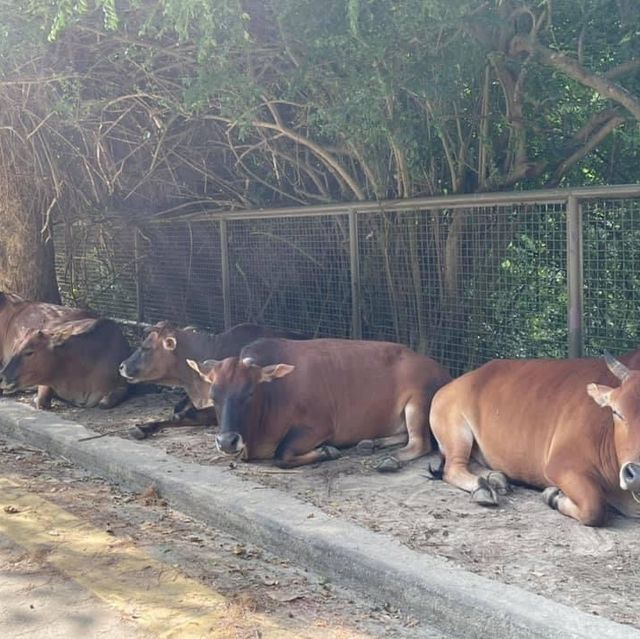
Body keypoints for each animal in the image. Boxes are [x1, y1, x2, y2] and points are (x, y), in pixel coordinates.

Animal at [0, 316, 130, 410]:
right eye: (14, 348)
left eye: (29, 352)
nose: (2, 377)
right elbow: (41, 401)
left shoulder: (122, 386)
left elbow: (104, 403)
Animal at [188, 340, 452, 470]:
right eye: (213, 394)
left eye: (250, 392)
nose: (227, 441)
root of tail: (441, 369)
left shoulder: (319, 427)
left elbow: (281, 455)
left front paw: (327, 451)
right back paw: (370, 443)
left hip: (417, 403)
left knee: (420, 443)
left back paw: (391, 459)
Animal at [430, 352, 640, 528]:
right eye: (615, 411)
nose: (635, 473)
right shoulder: (560, 466)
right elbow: (594, 506)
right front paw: (553, 495)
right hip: (456, 429)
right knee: (452, 468)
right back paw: (482, 488)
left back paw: (494, 478)